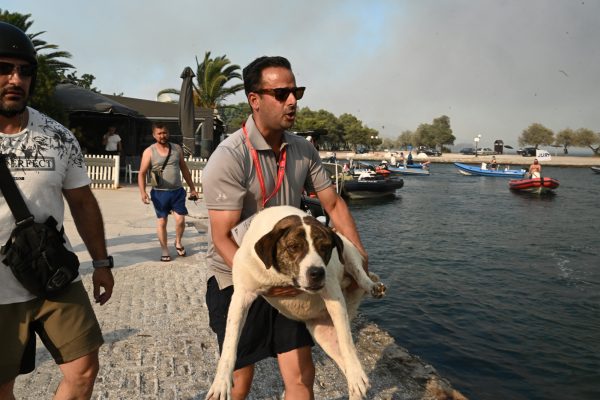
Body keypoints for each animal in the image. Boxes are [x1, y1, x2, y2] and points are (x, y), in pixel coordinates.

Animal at [205, 206, 384, 400]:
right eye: (293, 247)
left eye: (325, 247)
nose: (317, 273)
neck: (281, 277)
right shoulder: (241, 296)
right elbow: (229, 345)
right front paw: (221, 382)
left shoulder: (334, 297)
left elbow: (347, 341)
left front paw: (356, 374)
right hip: (324, 335)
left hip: (349, 252)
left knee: (361, 275)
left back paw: (373, 287)